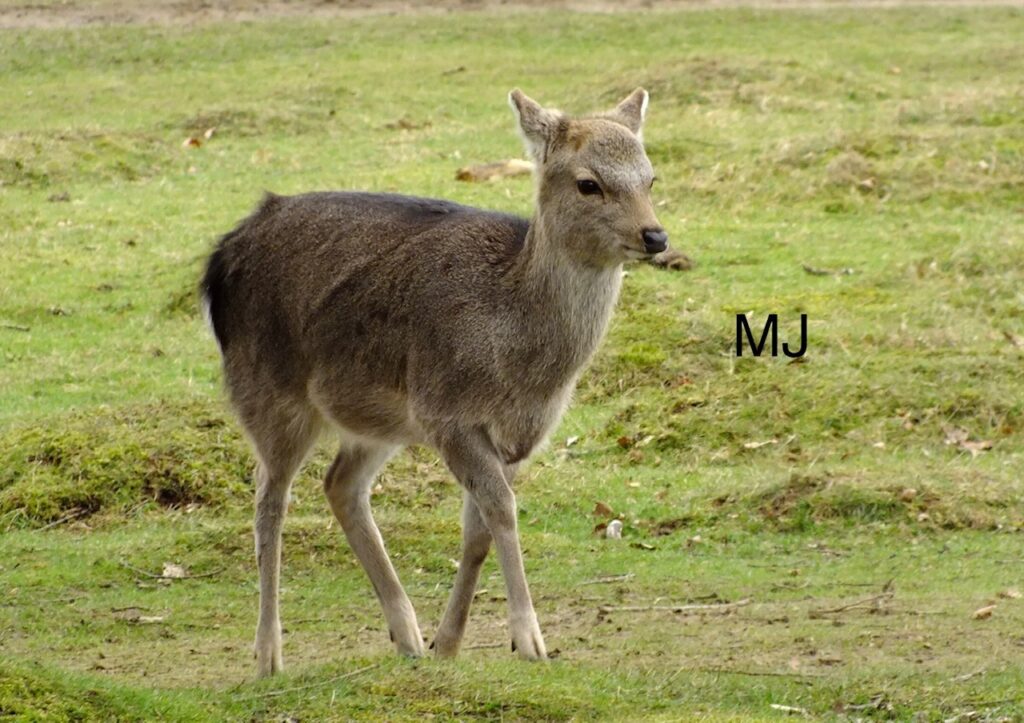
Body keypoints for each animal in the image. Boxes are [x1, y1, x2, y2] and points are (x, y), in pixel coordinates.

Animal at [200, 88, 667, 677]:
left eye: (651, 177)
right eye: (589, 183)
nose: (655, 236)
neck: (520, 362)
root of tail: (221, 258)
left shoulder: (516, 437)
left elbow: (479, 529)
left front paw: (449, 642)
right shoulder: (446, 413)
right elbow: (503, 511)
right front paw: (530, 640)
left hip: (376, 419)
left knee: (340, 485)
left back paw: (407, 634)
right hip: (269, 394)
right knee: (268, 504)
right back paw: (268, 654)